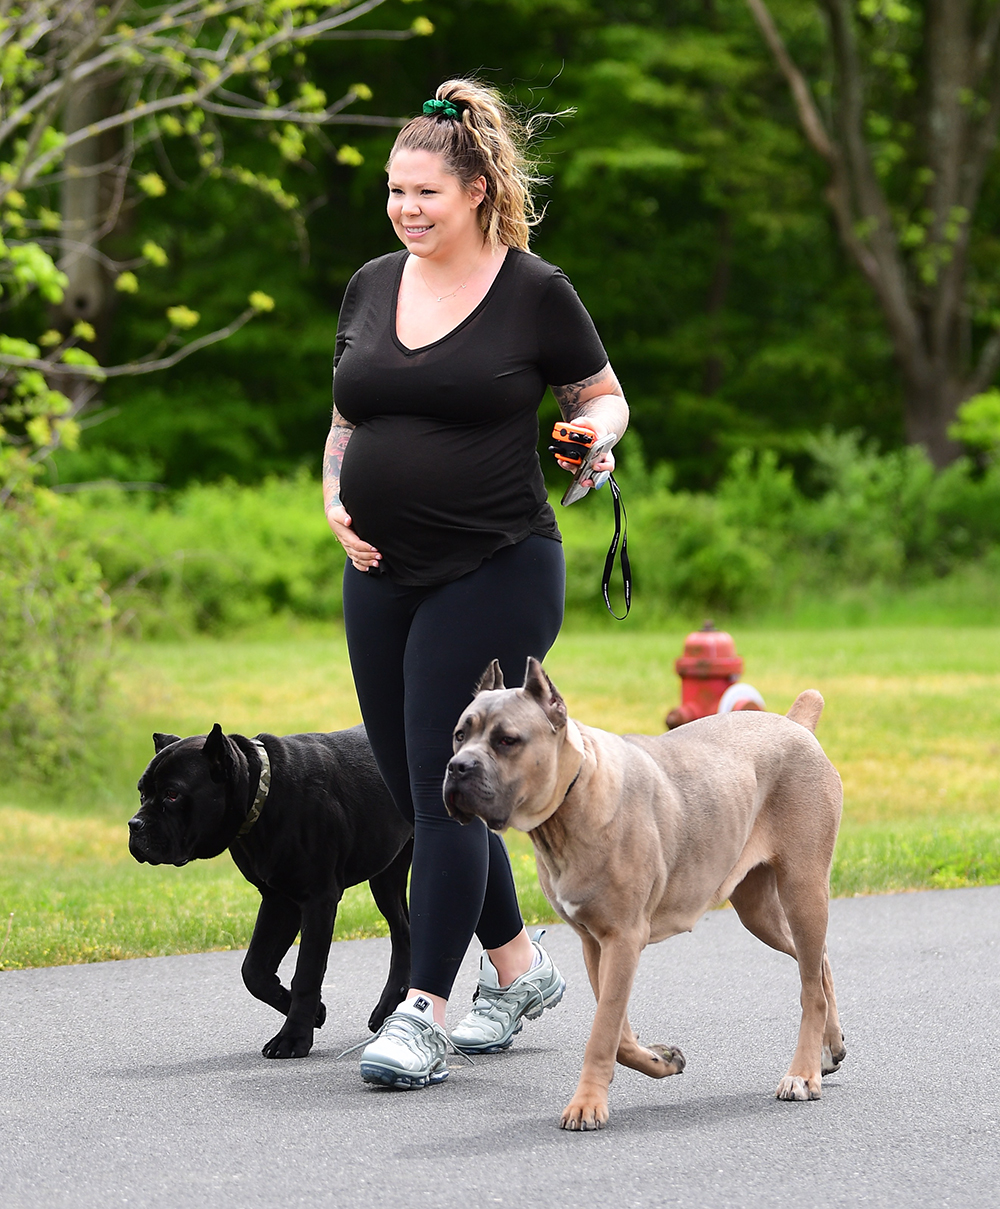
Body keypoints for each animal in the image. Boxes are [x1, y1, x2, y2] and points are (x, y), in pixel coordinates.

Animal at [128, 725, 411, 1059]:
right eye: (142, 793)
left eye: (172, 794)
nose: (134, 824)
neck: (262, 793)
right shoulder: (279, 900)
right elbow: (254, 970)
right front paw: (315, 1013)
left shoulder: (317, 899)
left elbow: (306, 972)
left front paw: (293, 1038)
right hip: (386, 878)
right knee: (404, 931)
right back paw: (390, 1006)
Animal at [444, 657, 846, 1126]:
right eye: (459, 735)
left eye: (507, 740)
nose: (458, 767)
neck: (571, 799)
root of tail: (794, 724)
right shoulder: (596, 944)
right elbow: (616, 1032)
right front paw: (660, 1059)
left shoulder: (622, 939)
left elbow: (603, 1032)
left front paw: (587, 1103)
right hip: (759, 911)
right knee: (817, 961)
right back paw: (829, 1047)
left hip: (803, 888)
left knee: (810, 985)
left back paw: (803, 1073)